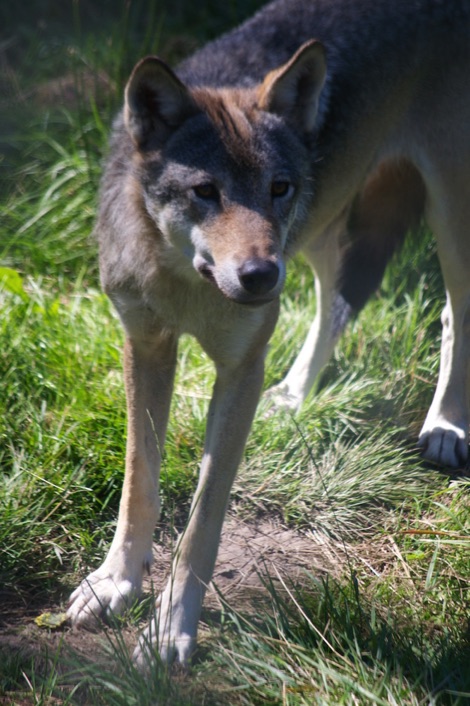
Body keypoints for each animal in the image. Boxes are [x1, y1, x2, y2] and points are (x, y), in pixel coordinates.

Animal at [67, 0, 470, 667]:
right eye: (206, 191)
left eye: (277, 188)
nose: (259, 274)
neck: (185, 283)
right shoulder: (145, 346)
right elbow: (138, 484)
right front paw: (114, 583)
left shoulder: (239, 371)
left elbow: (201, 524)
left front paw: (170, 630)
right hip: (319, 231)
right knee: (340, 295)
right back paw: (296, 394)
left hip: (439, 211)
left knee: (452, 314)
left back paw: (444, 427)